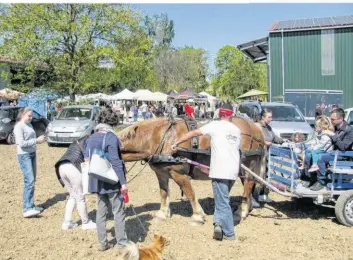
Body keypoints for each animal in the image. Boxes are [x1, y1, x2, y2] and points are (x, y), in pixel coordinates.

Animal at [118, 117, 264, 224]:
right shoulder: (161, 173)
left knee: (248, 185)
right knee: (247, 185)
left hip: (247, 165)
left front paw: (198, 215)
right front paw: (162, 213)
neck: (160, 137)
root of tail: (255, 127)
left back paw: (241, 212)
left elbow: (189, 193)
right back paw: (247, 207)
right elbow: (163, 193)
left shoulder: (178, 174)